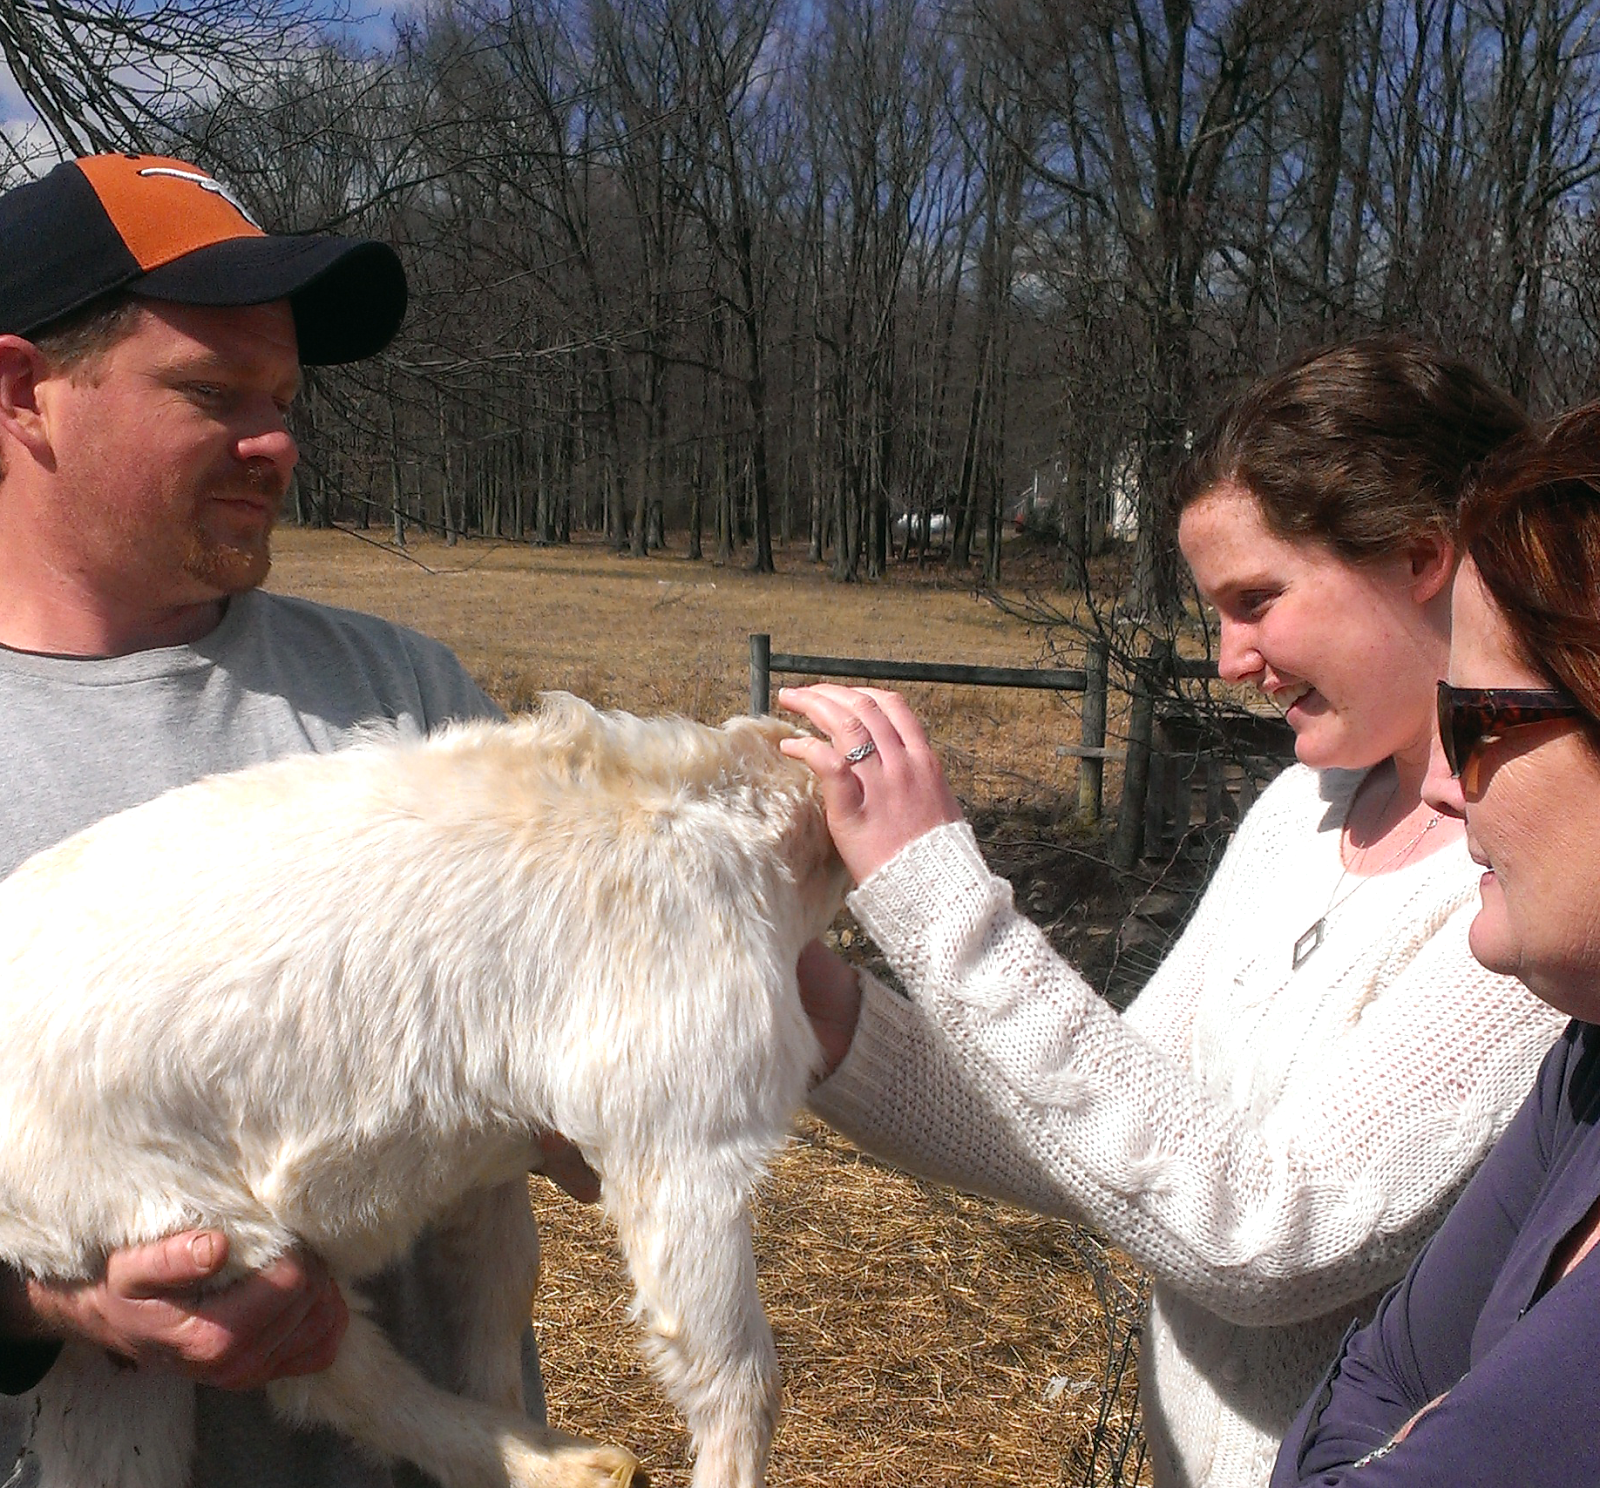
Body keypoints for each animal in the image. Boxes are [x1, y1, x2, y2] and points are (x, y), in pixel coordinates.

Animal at [0, 697, 851, 1484]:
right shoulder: (686, 1135)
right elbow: (738, 1380)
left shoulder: (492, 1153)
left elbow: (500, 1294)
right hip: (187, 1226)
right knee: (331, 1373)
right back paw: (570, 1466)